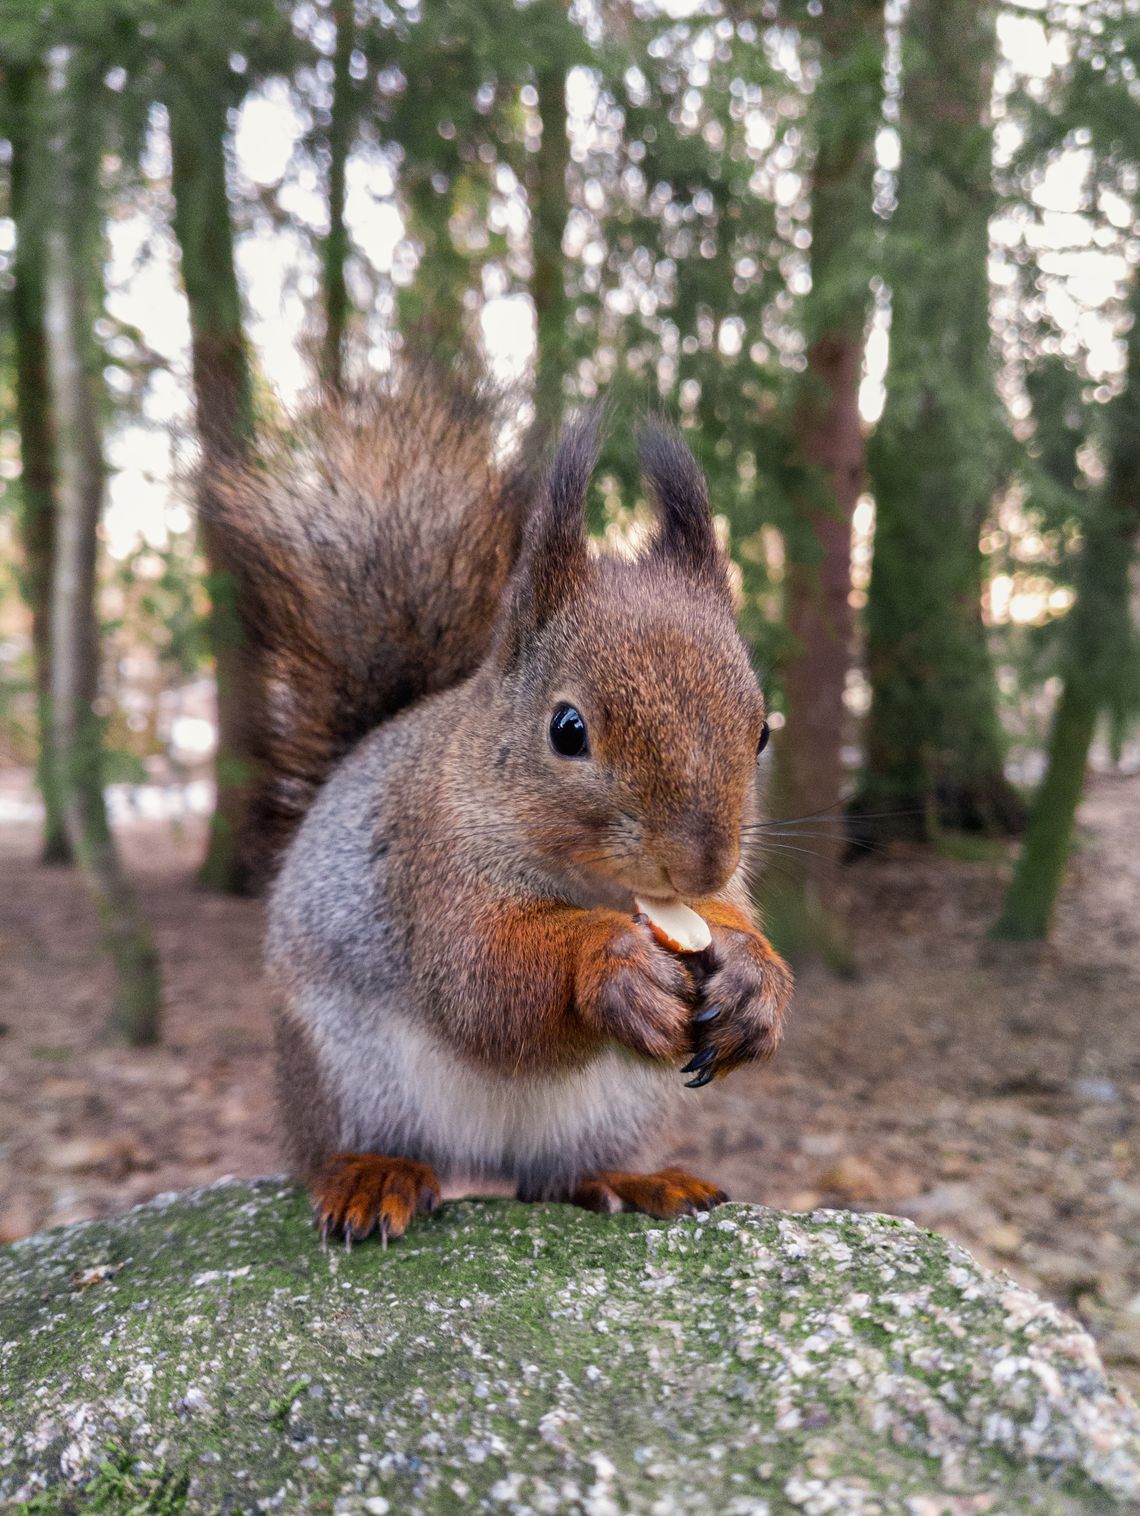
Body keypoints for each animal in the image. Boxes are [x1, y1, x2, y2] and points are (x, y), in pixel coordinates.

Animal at [207, 363, 794, 1243]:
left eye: (761, 731)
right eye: (567, 729)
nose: (702, 863)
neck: (599, 889)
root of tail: (482, 1155)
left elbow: (734, 928)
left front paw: (755, 981)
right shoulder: (433, 868)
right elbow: (481, 978)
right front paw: (608, 962)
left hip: (615, 1109)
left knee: (558, 1179)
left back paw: (635, 1181)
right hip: (343, 1073)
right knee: (341, 1149)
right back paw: (370, 1174)